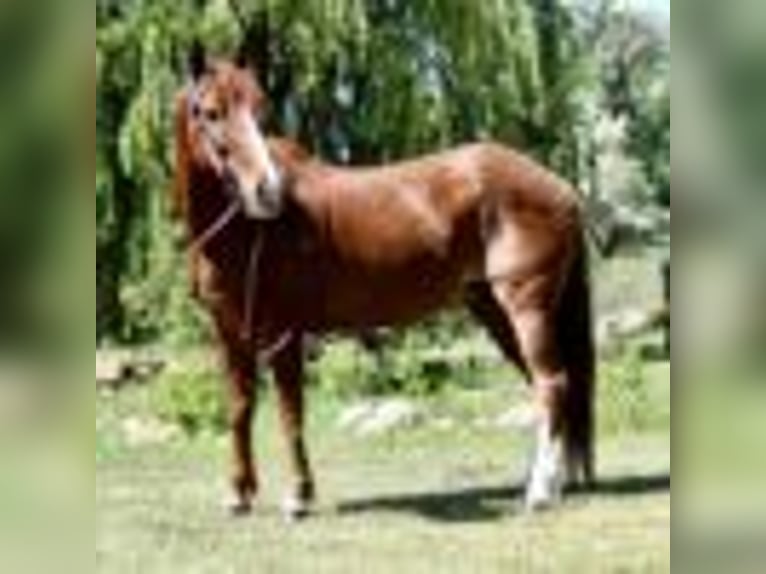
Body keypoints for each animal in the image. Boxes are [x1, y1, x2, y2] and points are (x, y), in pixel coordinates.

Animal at [172, 48, 596, 518]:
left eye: (261, 109)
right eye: (211, 112)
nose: (267, 191)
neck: (244, 231)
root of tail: (561, 187)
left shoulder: (284, 333)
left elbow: (289, 412)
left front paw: (299, 496)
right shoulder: (228, 332)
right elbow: (240, 409)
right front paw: (239, 494)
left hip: (526, 308)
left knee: (552, 384)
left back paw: (539, 492)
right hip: (494, 310)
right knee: (548, 387)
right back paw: (550, 485)